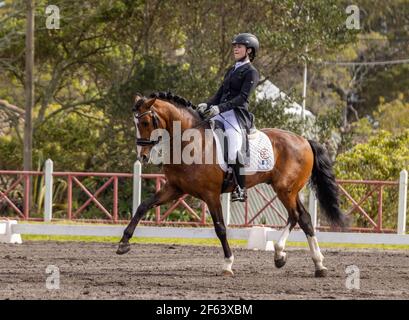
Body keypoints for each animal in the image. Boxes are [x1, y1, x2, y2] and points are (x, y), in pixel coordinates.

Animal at [115, 91, 348, 276]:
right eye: (136, 123)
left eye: (145, 123)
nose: (142, 156)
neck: (189, 142)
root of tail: (304, 140)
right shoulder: (174, 188)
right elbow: (143, 206)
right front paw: (123, 243)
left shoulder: (210, 194)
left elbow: (220, 228)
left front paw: (227, 264)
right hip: (287, 189)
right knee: (302, 218)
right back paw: (307, 262)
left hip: (286, 189)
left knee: (298, 216)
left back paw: (295, 257)